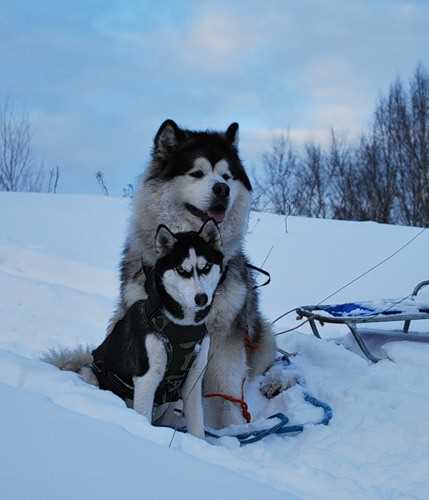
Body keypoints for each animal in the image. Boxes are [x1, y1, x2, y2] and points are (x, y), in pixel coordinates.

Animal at [45, 221, 222, 440]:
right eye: (182, 269)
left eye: (206, 267)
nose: (201, 298)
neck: (181, 326)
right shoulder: (147, 378)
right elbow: (143, 418)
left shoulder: (193, 380)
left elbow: (197, 427)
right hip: (92, 374)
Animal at [113, 119, 276, 428]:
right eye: (197, 173)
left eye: (226, 175)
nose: (222, 189)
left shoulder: (225, 338)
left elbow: (226, 391)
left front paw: (231, 431)